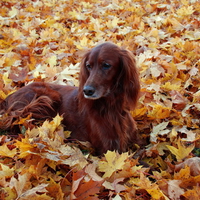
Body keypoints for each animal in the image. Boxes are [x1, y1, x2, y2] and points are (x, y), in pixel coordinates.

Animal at [0, 42, 141, 155]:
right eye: (89, 66)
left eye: (106, 65)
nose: (87, 90)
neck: (112, 107)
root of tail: (7, 98)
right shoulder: (108, 149)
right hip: (47, 97)